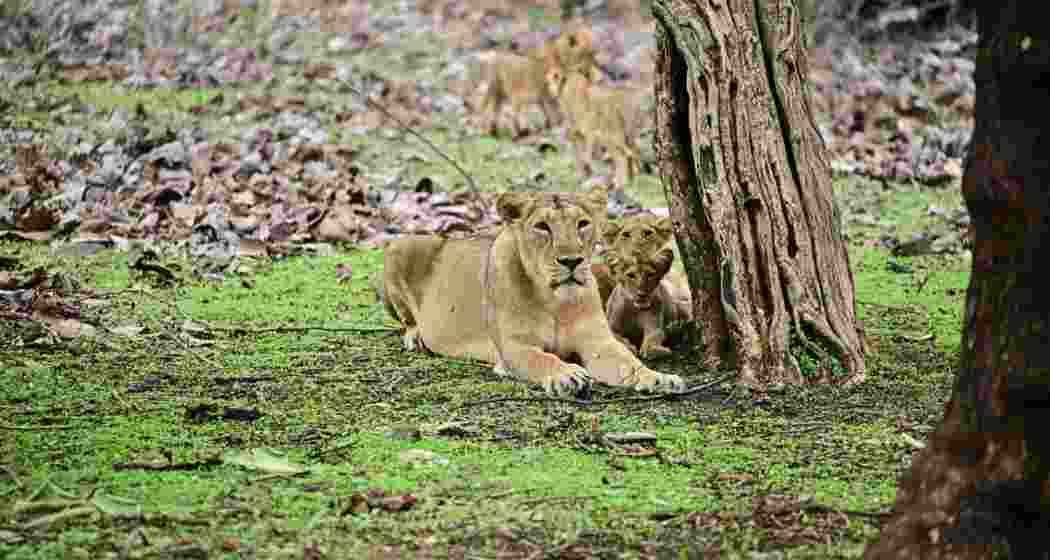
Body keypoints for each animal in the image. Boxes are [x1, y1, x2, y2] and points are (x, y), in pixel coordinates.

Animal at [383, 188, 686, 396]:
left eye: (582, 224)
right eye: (542, 227)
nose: (571, 261)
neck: (554, 301)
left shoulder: (598, 342)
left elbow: (628, 361)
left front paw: (657, 377)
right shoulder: (514, 348)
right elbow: (542, 358)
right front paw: (567, 375)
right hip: (402, 245)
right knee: (407, 320)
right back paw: (416, 337)